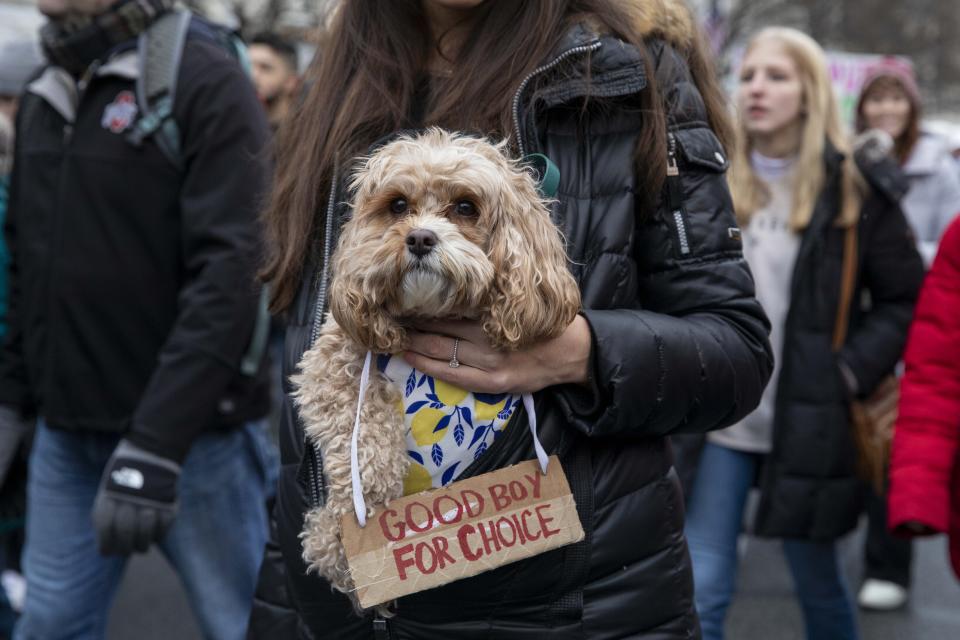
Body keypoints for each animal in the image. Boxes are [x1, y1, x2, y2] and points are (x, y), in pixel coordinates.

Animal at [288, 129, 580, 608]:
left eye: (465, 207)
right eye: (398, 205)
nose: (421, 238)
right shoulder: (330, 363)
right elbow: (361, 426)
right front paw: (359, 507)